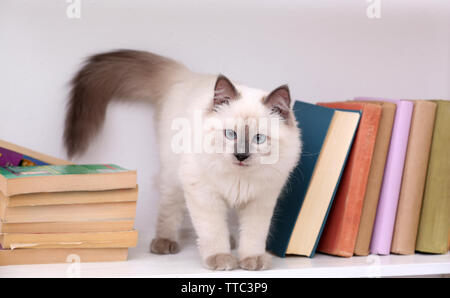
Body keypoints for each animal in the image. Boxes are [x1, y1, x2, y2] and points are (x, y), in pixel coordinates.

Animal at [64, 49, 302, 270]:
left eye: (258, 138)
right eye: (230, 134)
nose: (241, 155)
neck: (238, 177)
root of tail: (187, 76)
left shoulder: (261, 200)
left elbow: (253, 235)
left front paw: (251, 260)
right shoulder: (204, 194)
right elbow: (213, 230)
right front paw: (221, 259)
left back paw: (231, 241)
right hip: (173, 177)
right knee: (169, 209)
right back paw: (164, 243)